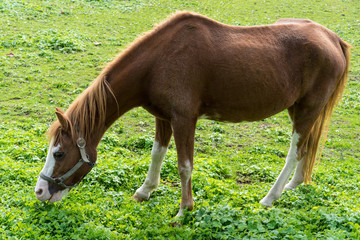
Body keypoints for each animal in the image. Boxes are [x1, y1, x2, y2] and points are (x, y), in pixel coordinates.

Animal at [35, 12, 350, 217]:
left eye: (59, 153)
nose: (40, 192)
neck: (158, 62)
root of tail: (333, 38)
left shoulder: (184, 119)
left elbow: (184, 165)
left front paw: (184, 210)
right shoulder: (163, 117)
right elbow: (157, 154)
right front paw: (145, 191)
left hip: (307, 110)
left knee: (294, 153)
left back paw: (270, 198)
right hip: (301, 111)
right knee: (306, 149)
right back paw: (293, 186)